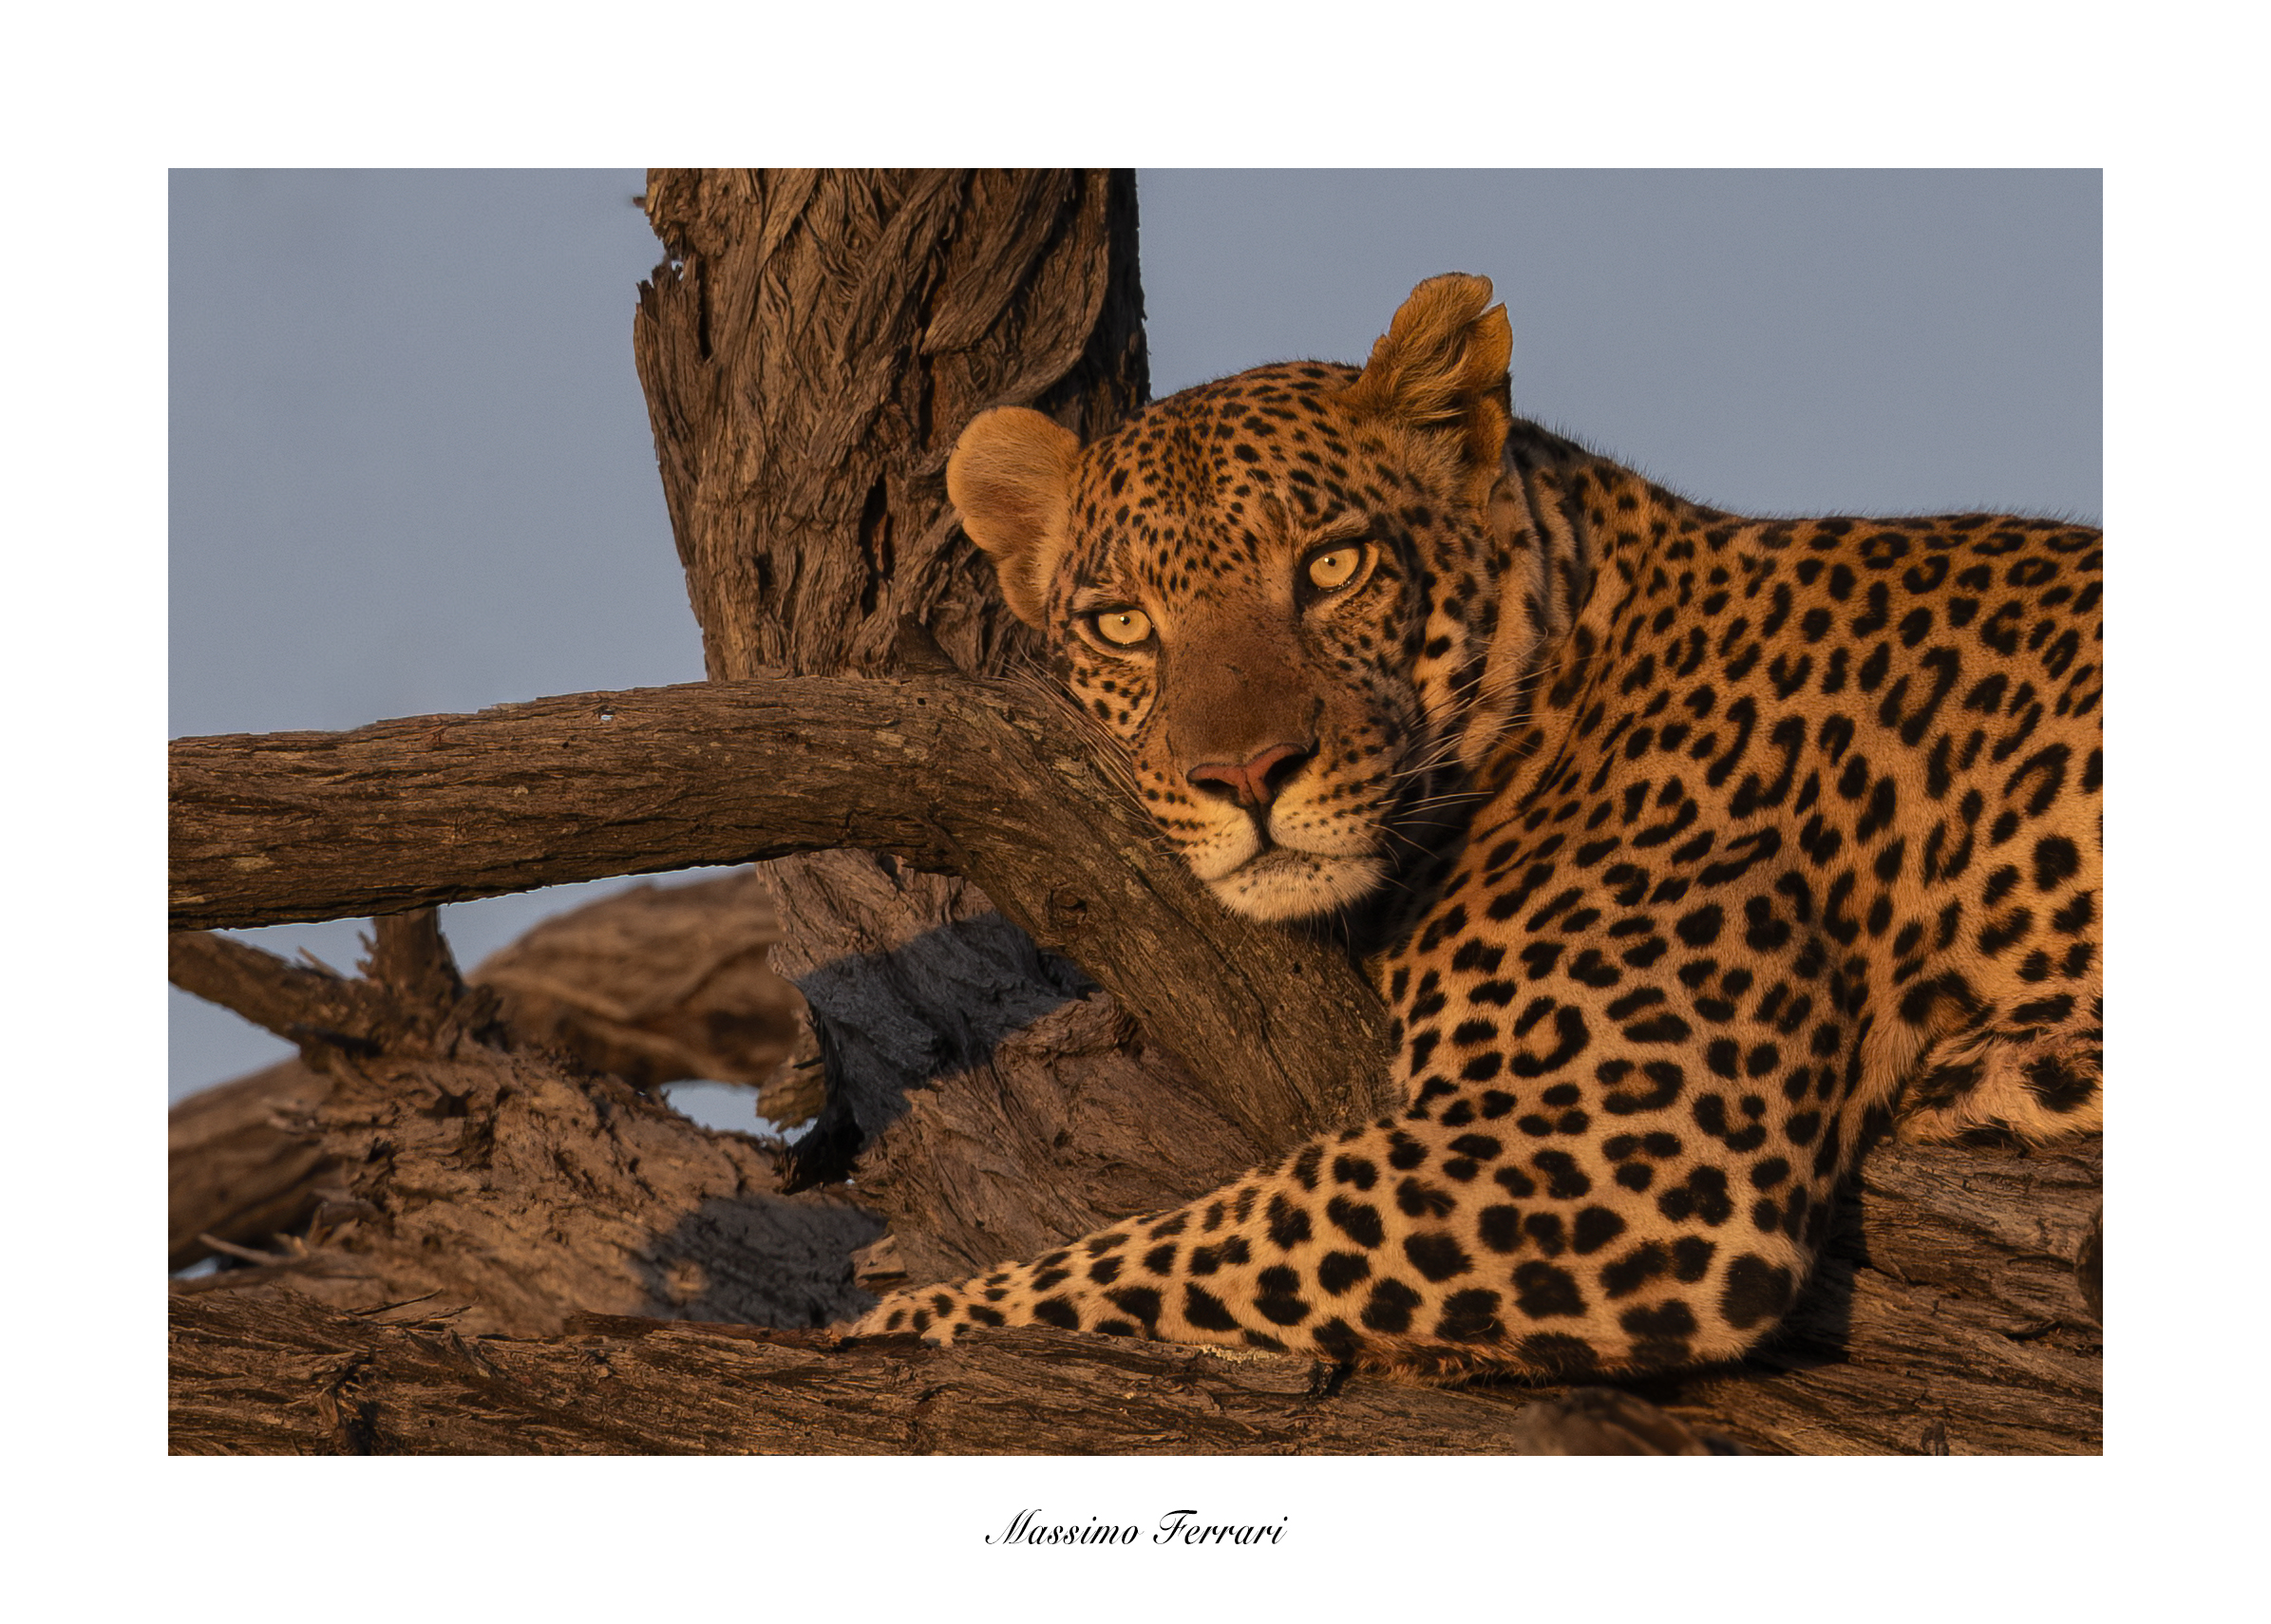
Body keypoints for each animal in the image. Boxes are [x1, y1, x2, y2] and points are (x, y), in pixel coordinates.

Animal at [843, 273, 2102, 1381]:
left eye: (1334, 566)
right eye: (1120, 626)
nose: (1245, 775)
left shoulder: (1603, 1157)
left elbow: (1174, 1247)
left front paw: (889, 1327)